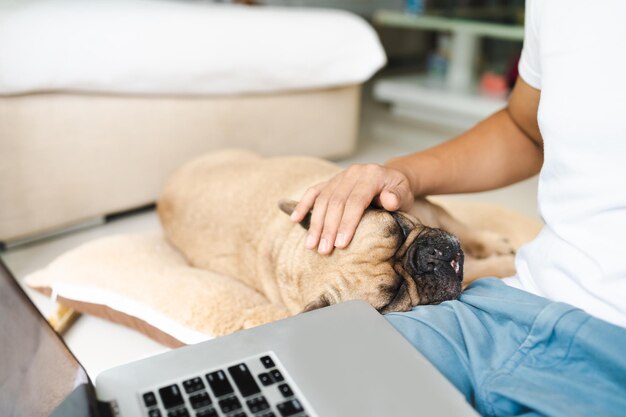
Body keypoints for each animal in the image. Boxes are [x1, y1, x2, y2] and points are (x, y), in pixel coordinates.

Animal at [157, 151, 512, 316]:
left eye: (398, 225)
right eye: (394, 296)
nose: (430, 259)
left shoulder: (427, 209)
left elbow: (464, 229)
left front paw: (497, 243)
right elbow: (481, 269)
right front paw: (507, 261)